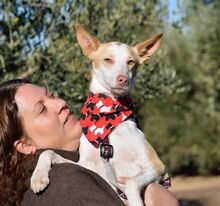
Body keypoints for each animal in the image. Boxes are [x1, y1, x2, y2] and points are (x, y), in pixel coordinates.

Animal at [31, 24, 171, 206]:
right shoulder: (87, 166)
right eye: (108, 60)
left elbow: (131, 182)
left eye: (131, 62)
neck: (107, 121)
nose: (123, 79)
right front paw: (38, 176)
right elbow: (48, 152)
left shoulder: (157, 166)